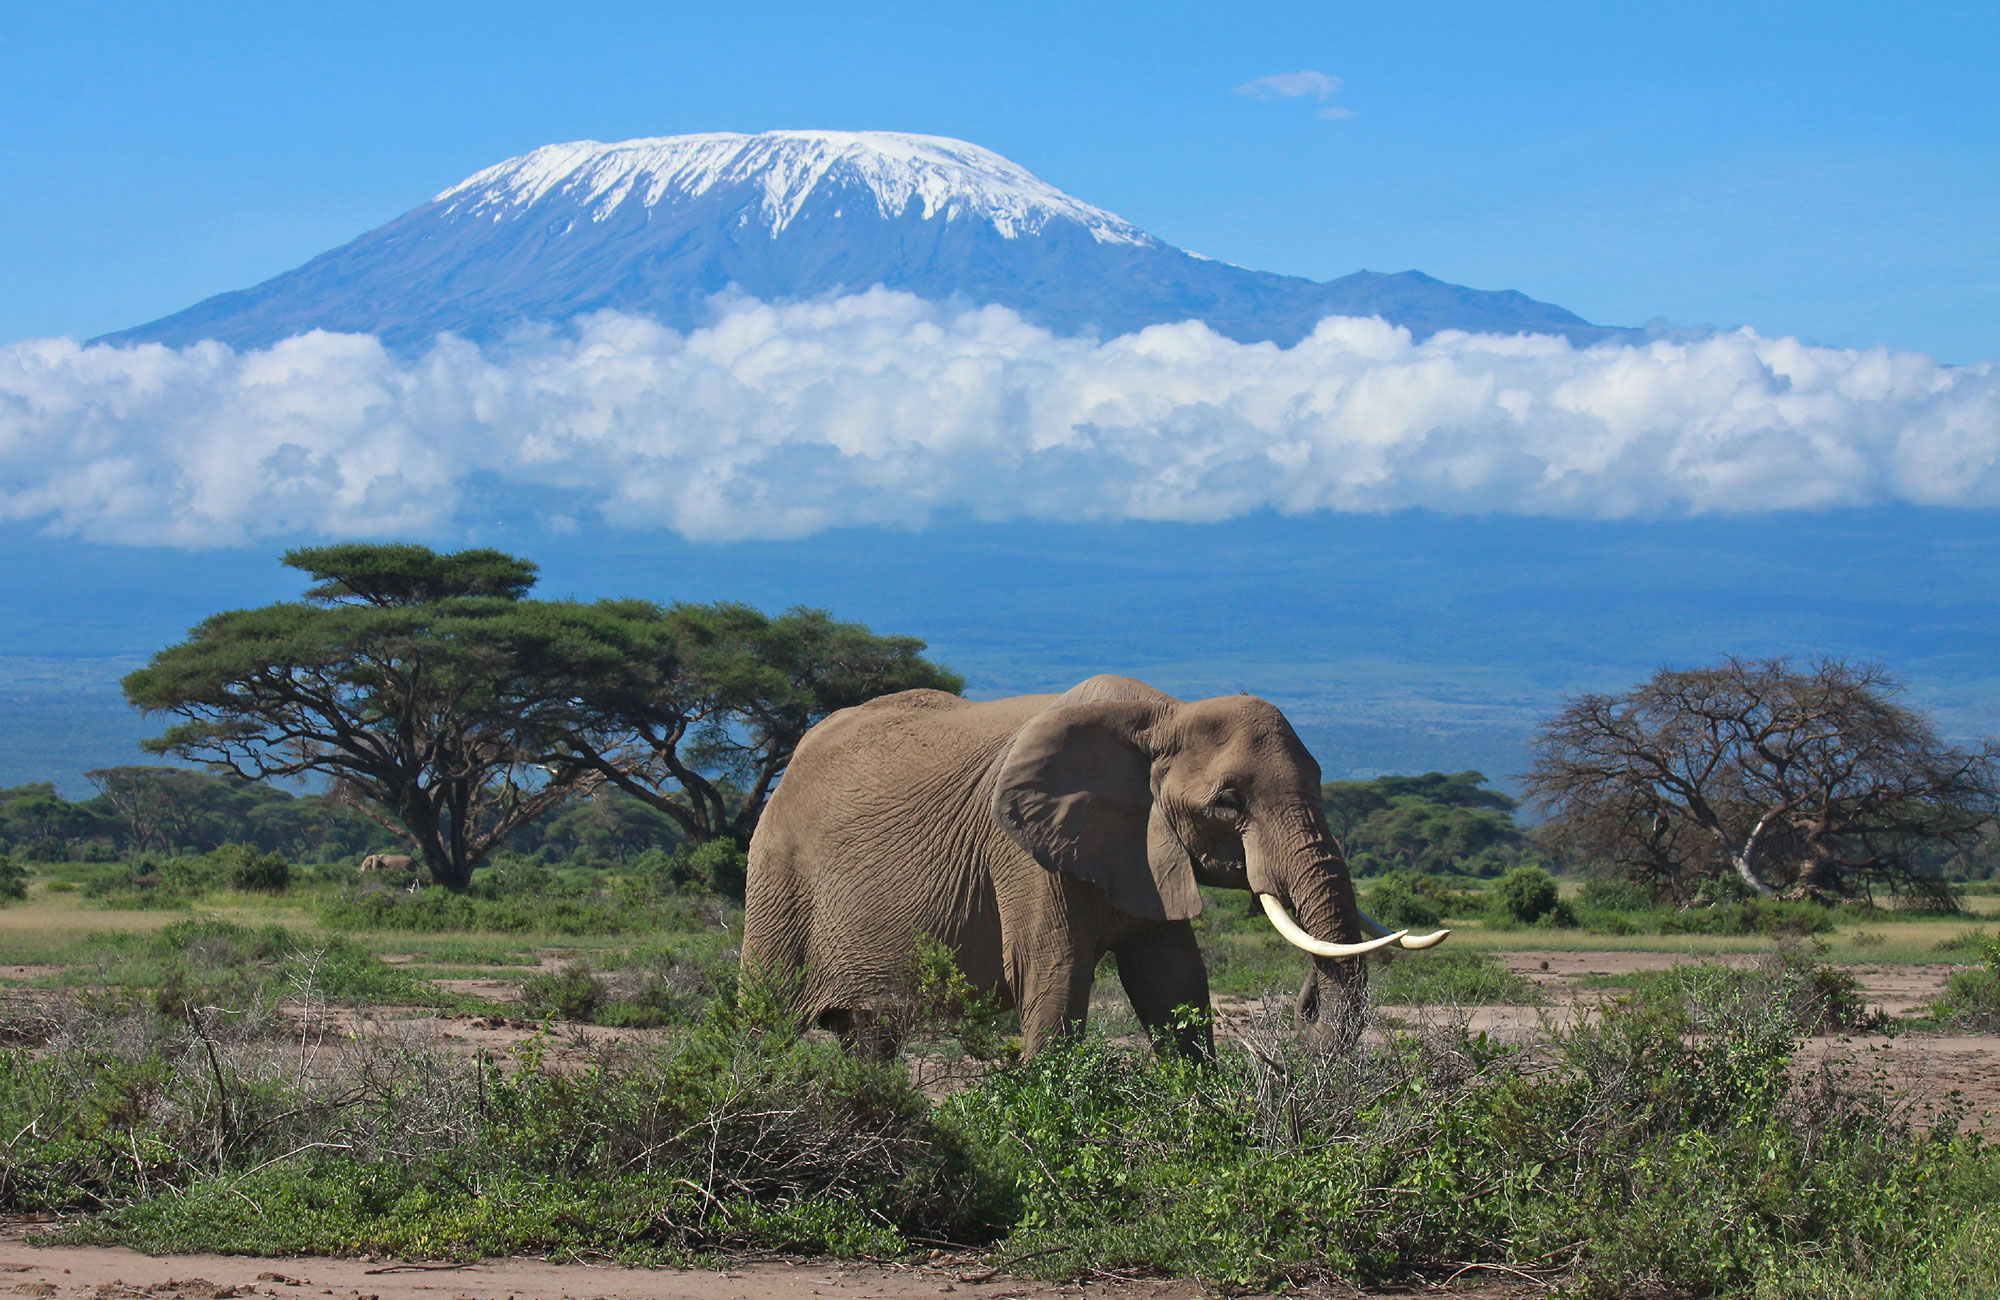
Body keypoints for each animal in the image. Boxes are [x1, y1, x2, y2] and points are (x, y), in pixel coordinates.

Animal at [741, 674, 1447, 1059]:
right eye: (1228, 801)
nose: (1303, 1009)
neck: (1164, 714)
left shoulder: (1146, 847)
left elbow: (1174, 983)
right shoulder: (1021, 852)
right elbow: (1054, 978)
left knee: (870, 1038)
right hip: (777, 876)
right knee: (764, 1020)